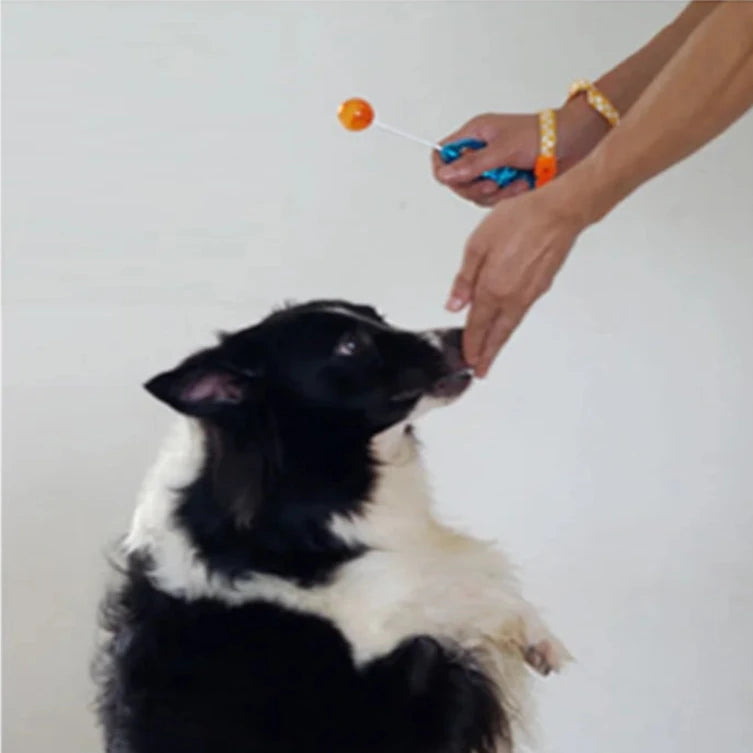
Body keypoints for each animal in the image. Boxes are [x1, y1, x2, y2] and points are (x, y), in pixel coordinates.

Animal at [95, 299, 570, 753]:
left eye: (377, 315)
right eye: (350, 346)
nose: (461, 335)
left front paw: (541, 641)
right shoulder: (413, 649)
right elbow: (474, 595)